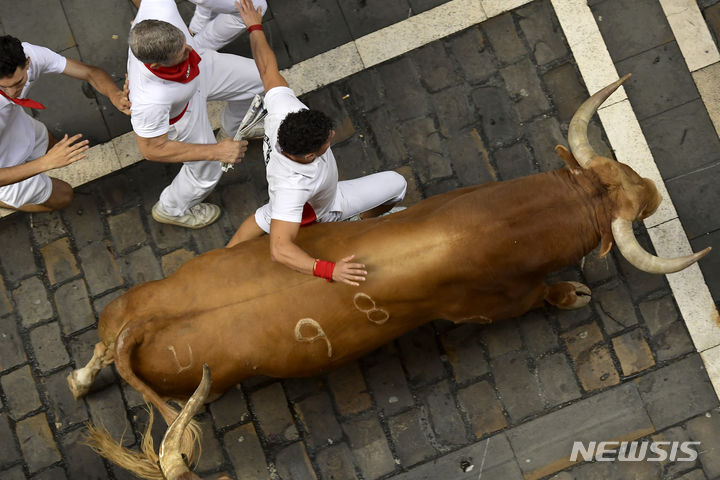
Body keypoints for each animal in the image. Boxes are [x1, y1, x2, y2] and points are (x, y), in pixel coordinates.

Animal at [67, 75, 708, 480]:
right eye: (633, 199)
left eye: (622, 173)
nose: (652, 191)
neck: (503, 222)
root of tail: (145, 324)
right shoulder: (493, 303)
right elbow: (542, 296)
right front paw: (573, 292)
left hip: (128, 310)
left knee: (93, 354)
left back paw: (80, 380)